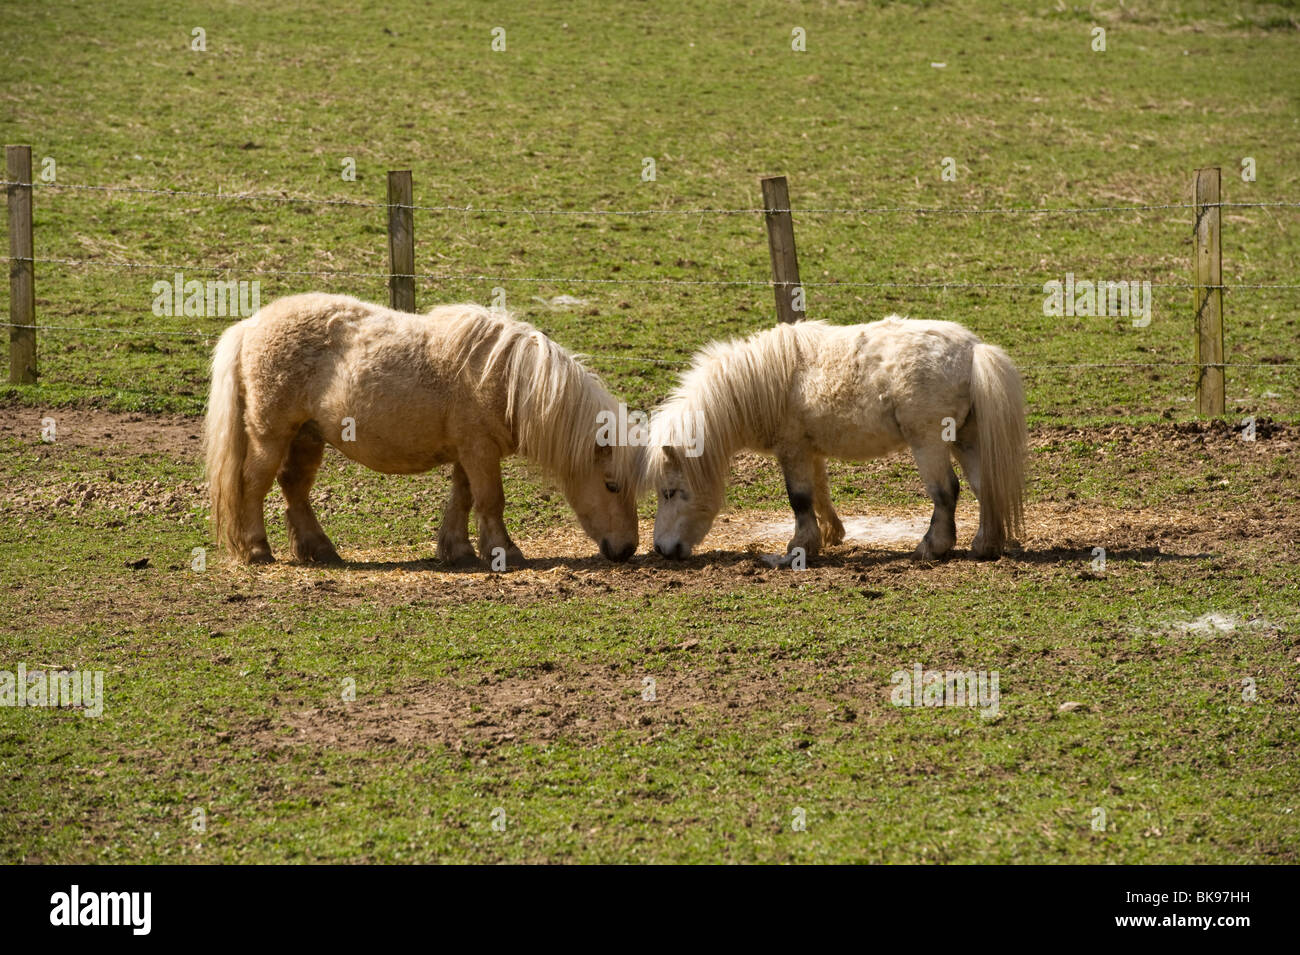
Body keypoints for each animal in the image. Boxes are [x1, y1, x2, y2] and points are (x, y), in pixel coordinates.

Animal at [639, 317, 1024, 563]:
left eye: (670, 492)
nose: (660, 549)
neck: (767, 383)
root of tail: (974, 351)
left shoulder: (792, 450)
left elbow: (799, 499)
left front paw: (799, 548)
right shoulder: (809, 451)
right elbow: (819, 493)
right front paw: (829, 535)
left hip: (929, 443)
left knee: (946, 492)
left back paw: (933, 547)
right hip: (965, 439)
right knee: (984, 486)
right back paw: (985, 545)